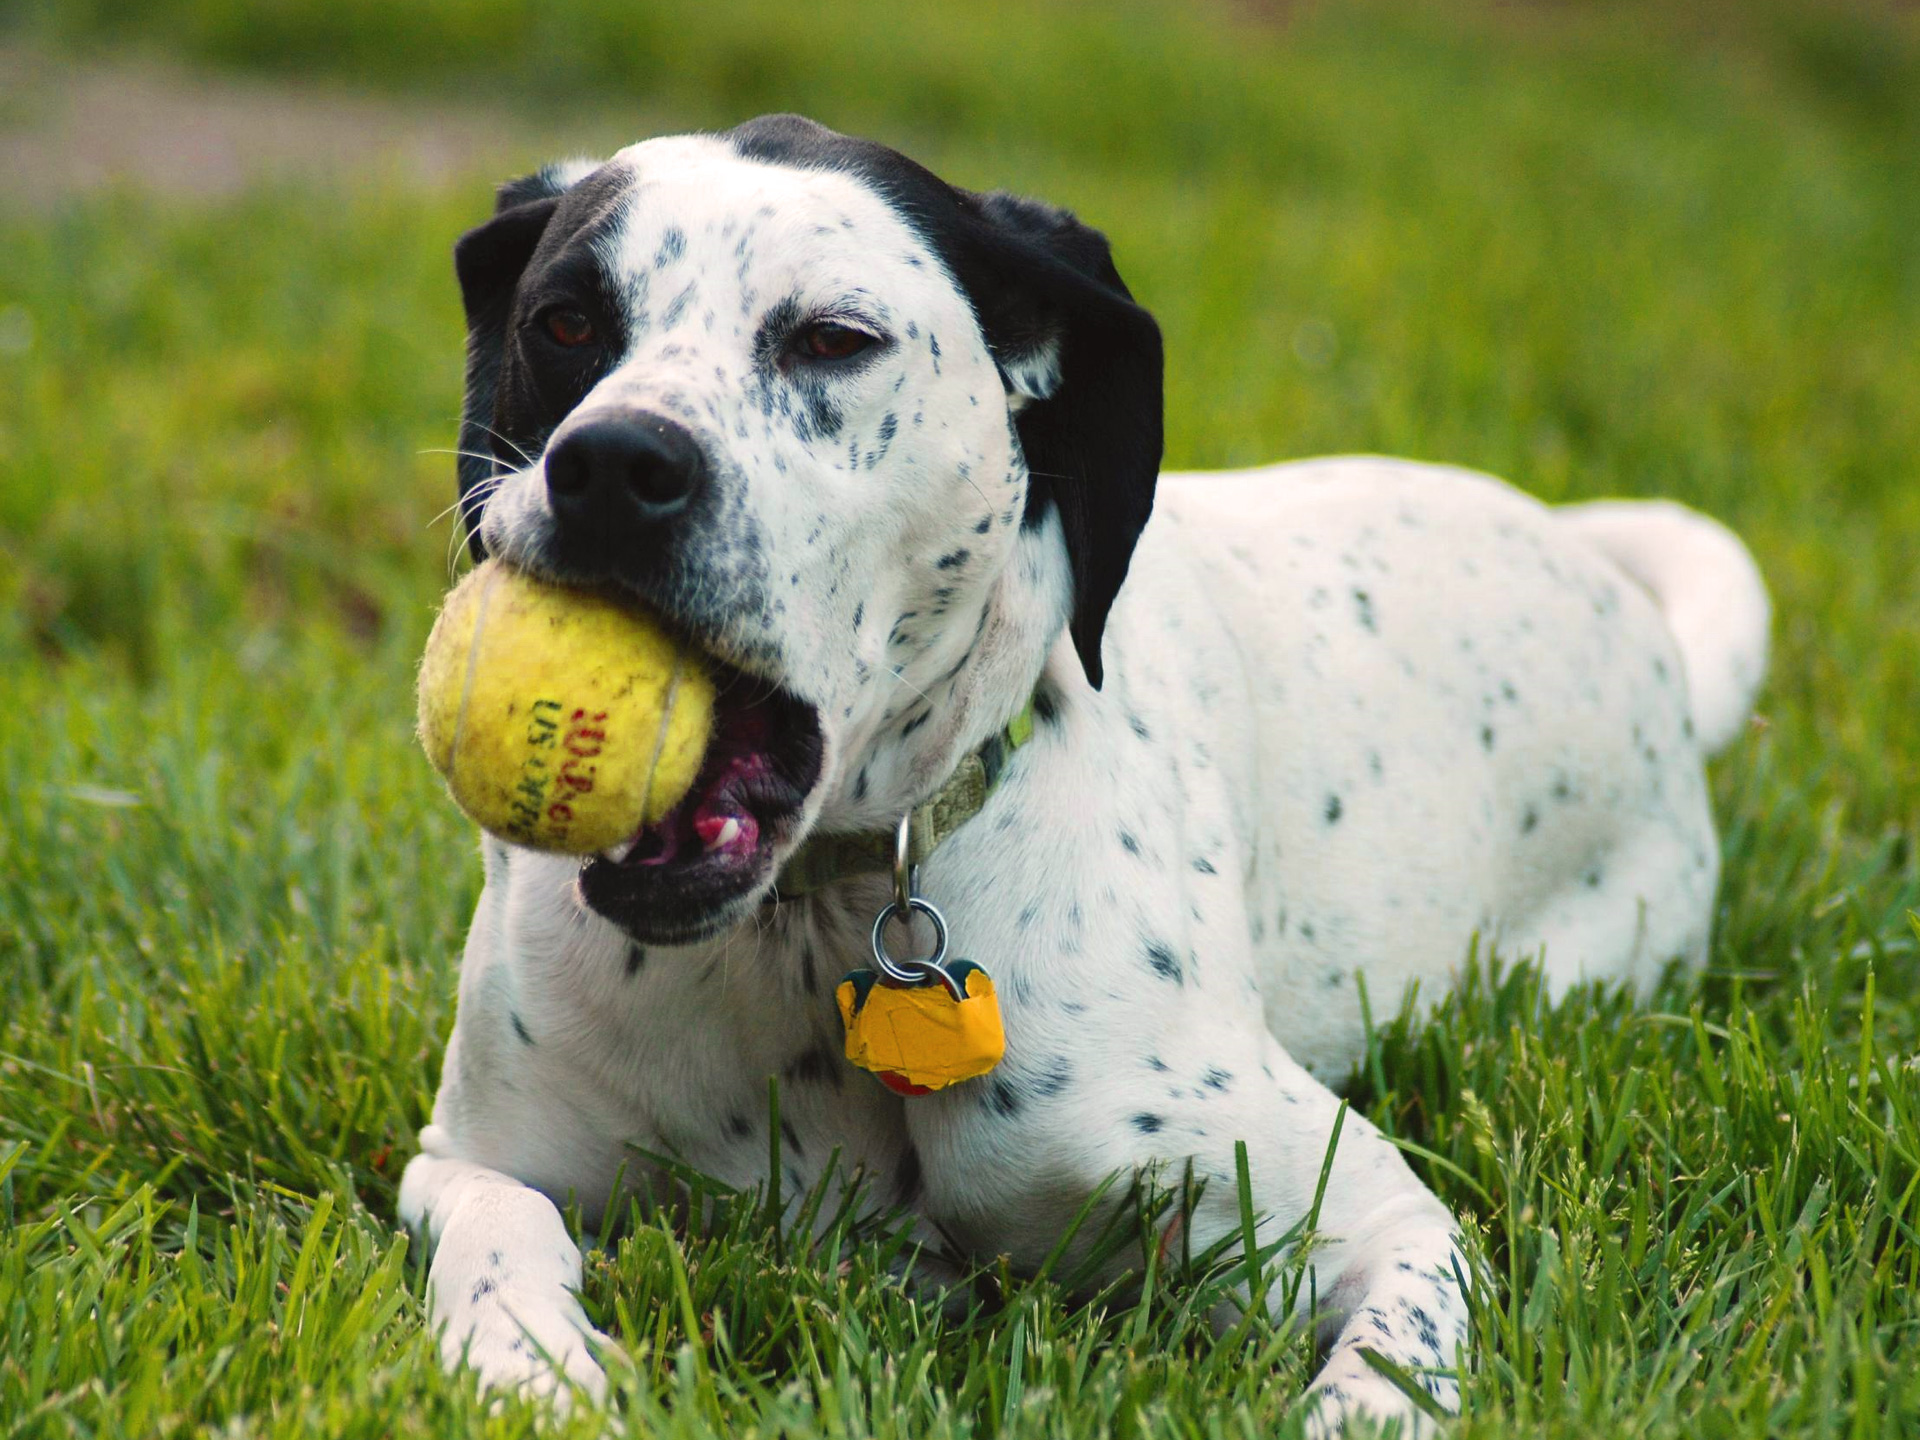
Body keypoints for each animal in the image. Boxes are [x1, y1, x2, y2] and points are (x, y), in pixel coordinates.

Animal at [401, 112, 1766, 1436]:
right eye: (565, 321)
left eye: (834, 338)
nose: (612, 465)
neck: (820, 917)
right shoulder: (466, 1159)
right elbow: (501, 1226)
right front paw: (531, 1369)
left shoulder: (1385, 1225)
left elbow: (1388, 1371)